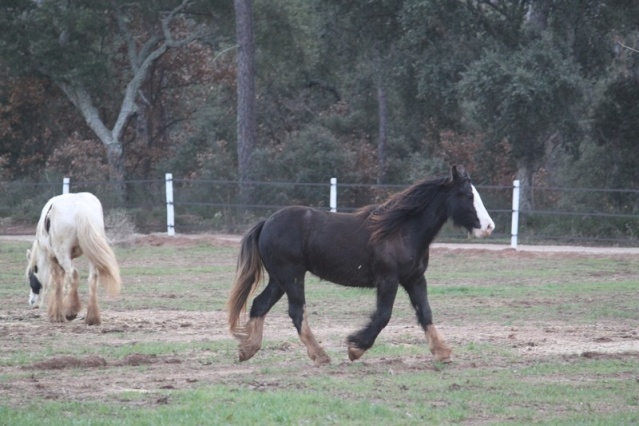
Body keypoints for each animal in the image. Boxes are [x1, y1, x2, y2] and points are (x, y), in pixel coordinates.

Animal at [25, 193, 121, 326]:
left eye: (30, 277)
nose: (32, 302)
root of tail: (80, 206)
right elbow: (64, 282)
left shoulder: (52, 257)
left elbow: (58, 283)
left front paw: (56, 315)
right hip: (90, 254)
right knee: (92, 278)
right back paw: (92, 318)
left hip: (63, 254)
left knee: (74, 274)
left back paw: (71, 311)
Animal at [228, 165, 498, 364]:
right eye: (467, 195)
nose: (488, 227)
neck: (401, 230)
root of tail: (267, 222)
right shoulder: (388, 280)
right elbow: (384, 315)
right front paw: (355, 348)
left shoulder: (415, 279)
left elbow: (425, 313)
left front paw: (442, 352)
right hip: (292, 276)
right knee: (296, 311)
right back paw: (320, 356)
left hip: (279, 279)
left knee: (259, 304)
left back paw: (247, 350)